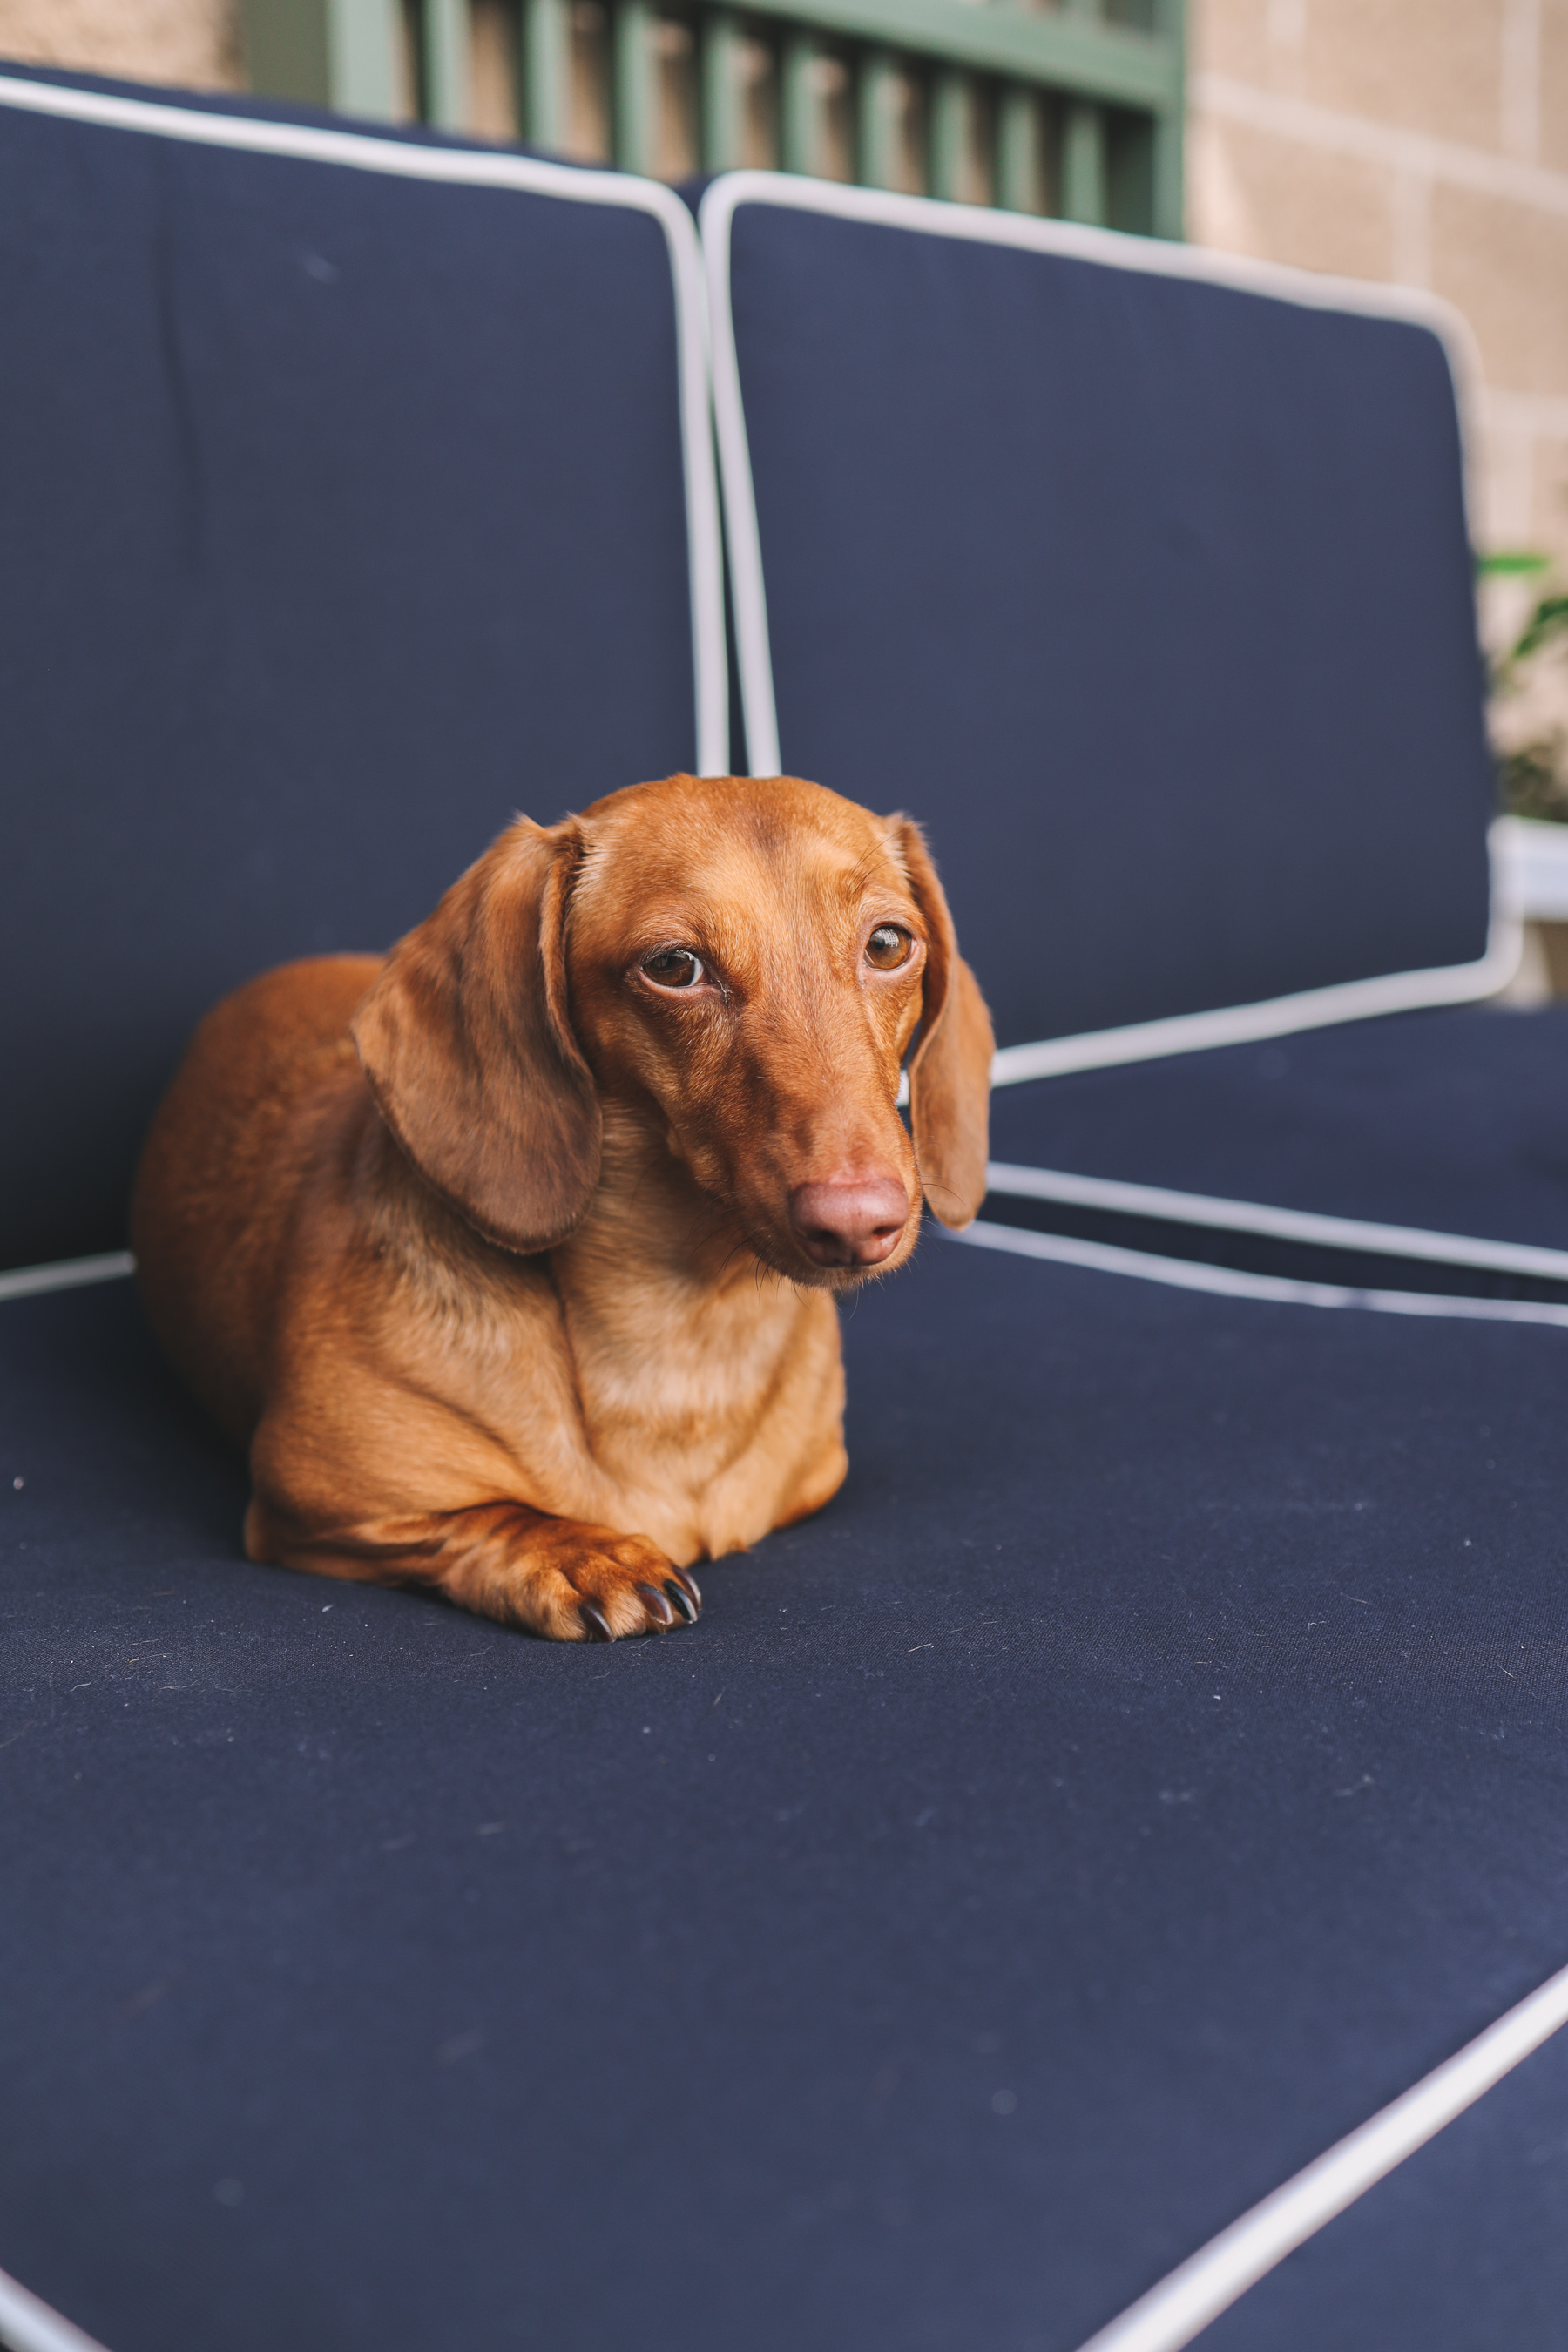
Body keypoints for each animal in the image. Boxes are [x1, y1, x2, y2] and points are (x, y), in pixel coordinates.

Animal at [135, 771, 991, 1637]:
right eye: (674, 965)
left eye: (888, 944)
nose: (857, 1223)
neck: (686, 1339)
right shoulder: (314, 1507)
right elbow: (490, 1515)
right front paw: (584, 1551)